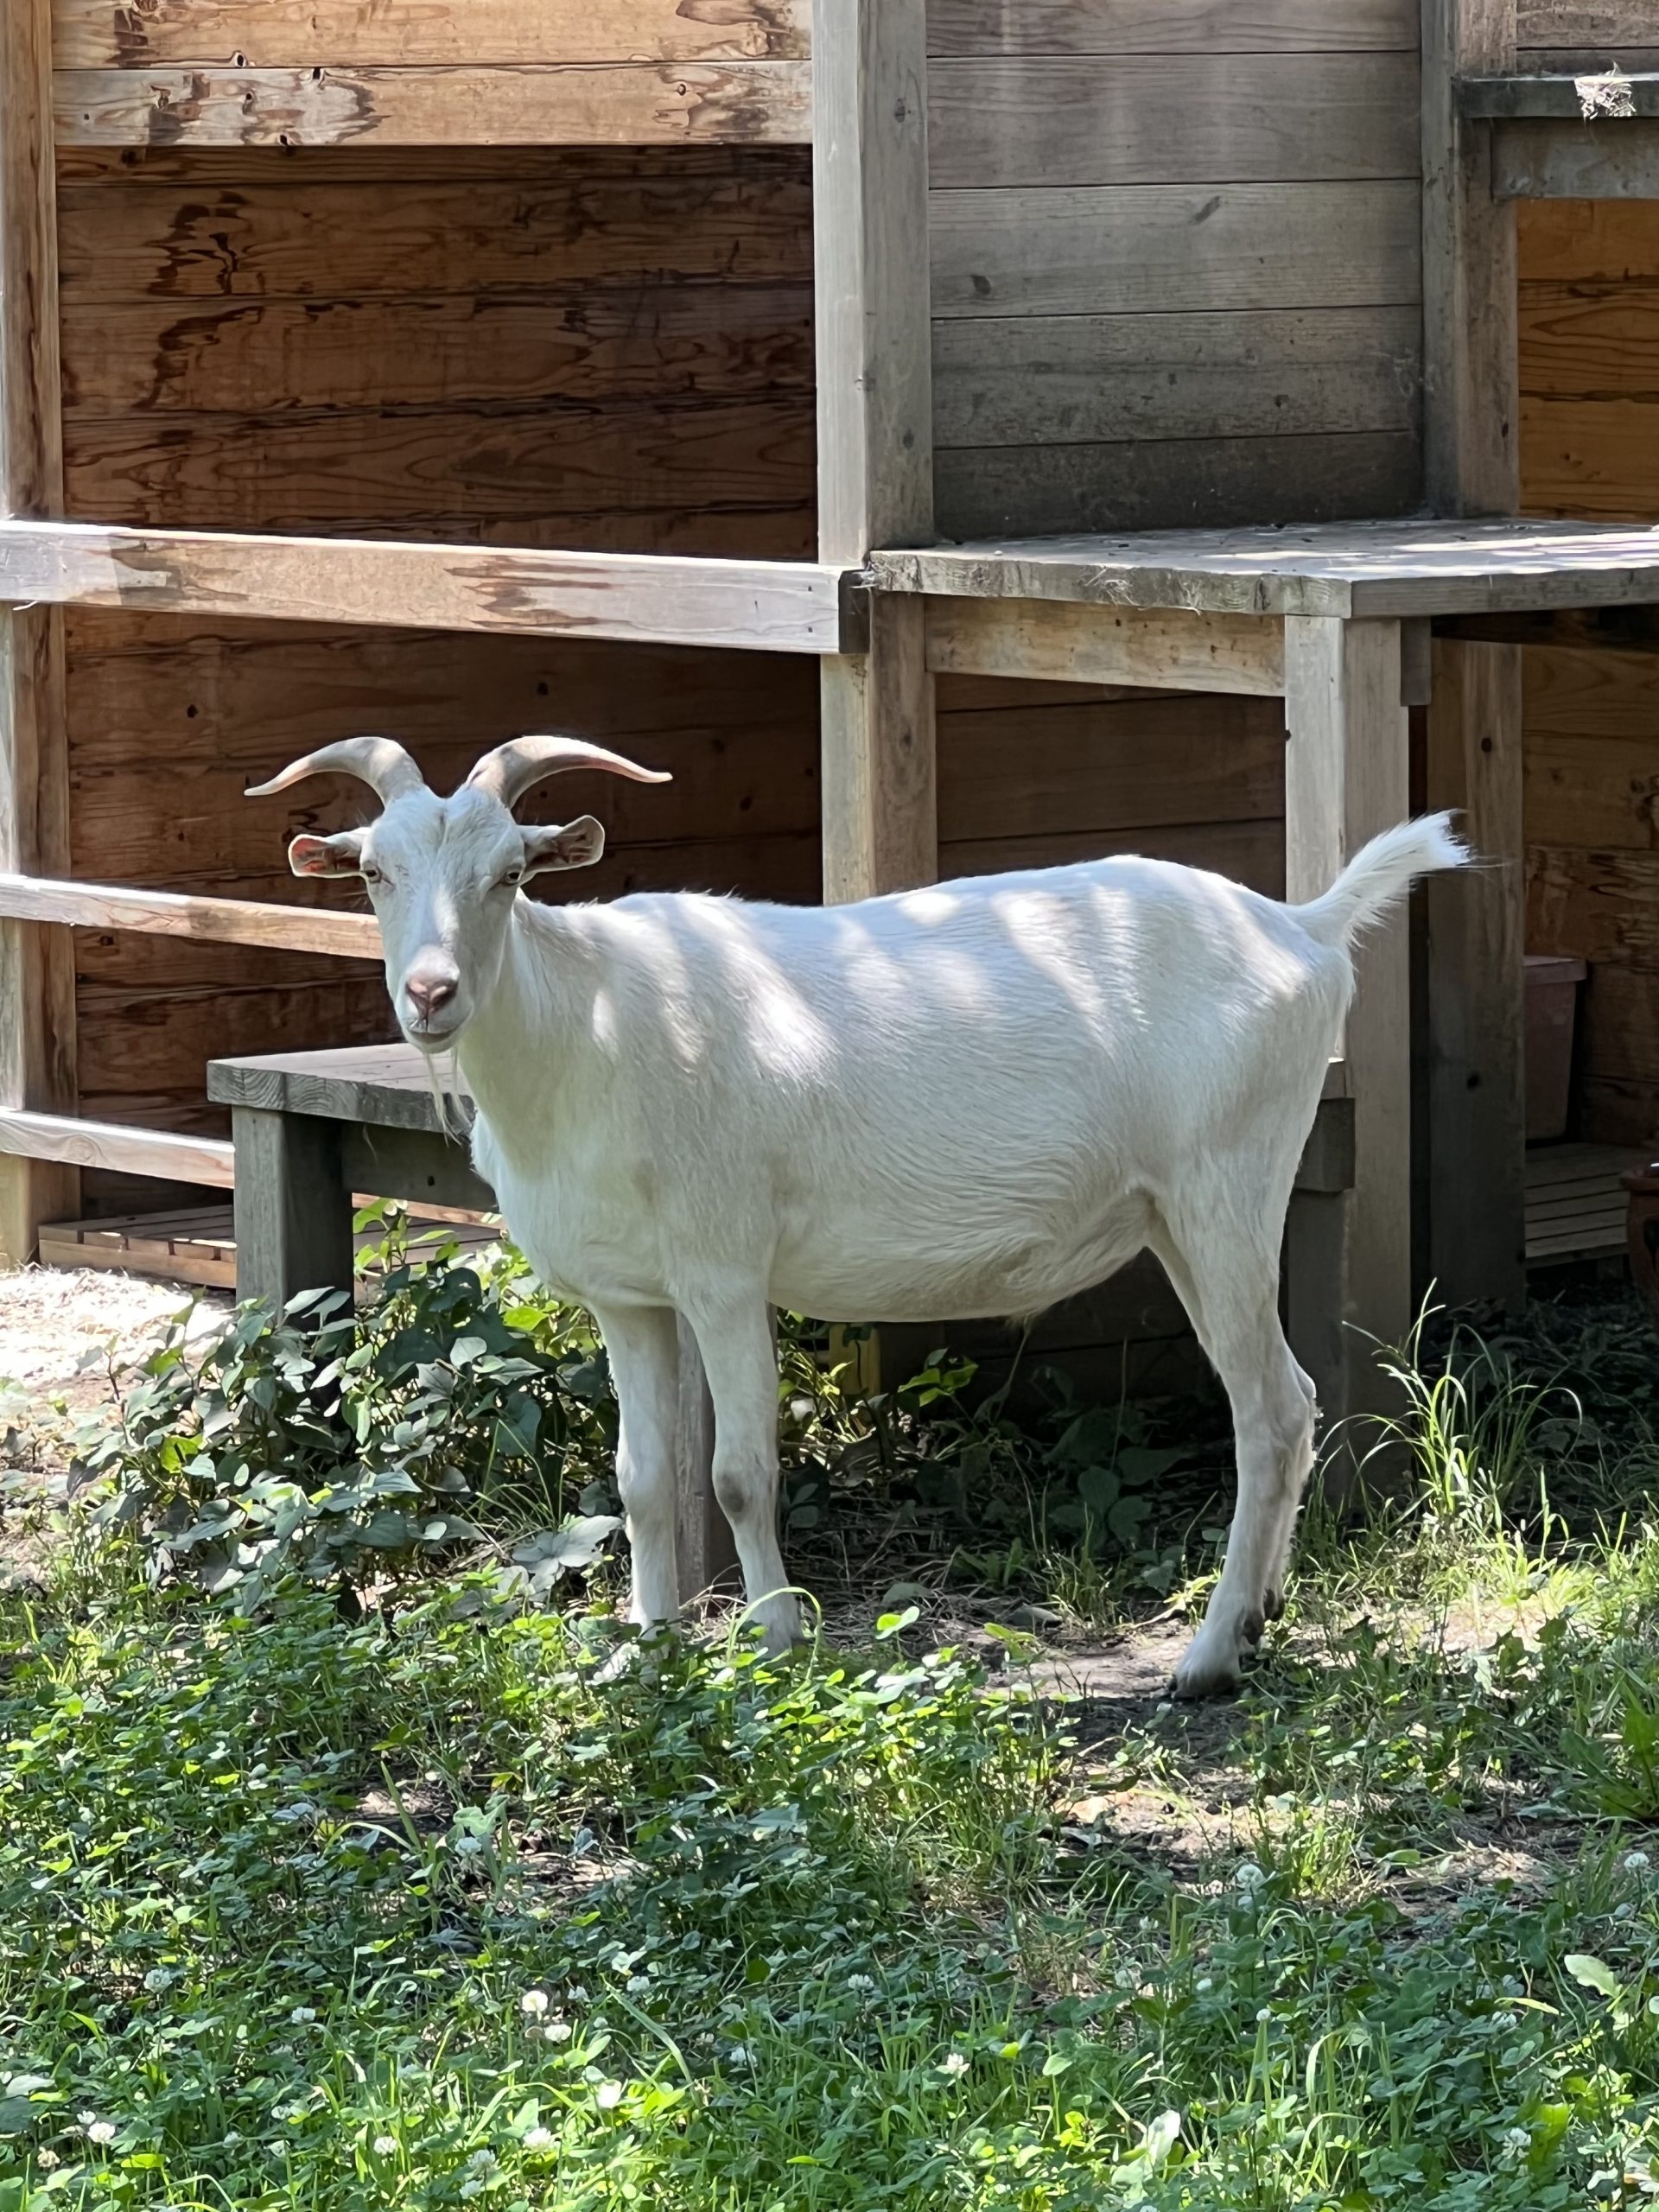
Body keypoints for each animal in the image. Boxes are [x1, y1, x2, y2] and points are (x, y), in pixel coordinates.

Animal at [250, 729, 1468, 1689]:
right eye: (373, 873)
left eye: (510, 872)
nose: (432, 993)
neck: (583, 1032)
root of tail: (1306, 926)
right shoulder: (625, 1296)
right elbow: (641, 1483)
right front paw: (642, 1650)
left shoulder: (723, 1269)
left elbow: (736, 1475)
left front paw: (776, 1644)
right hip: (1181, 1209)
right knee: (1290, 1402)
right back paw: (1258, 1619)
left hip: (1228, 1187)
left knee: (1272, 1408)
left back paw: (1208, 1658)